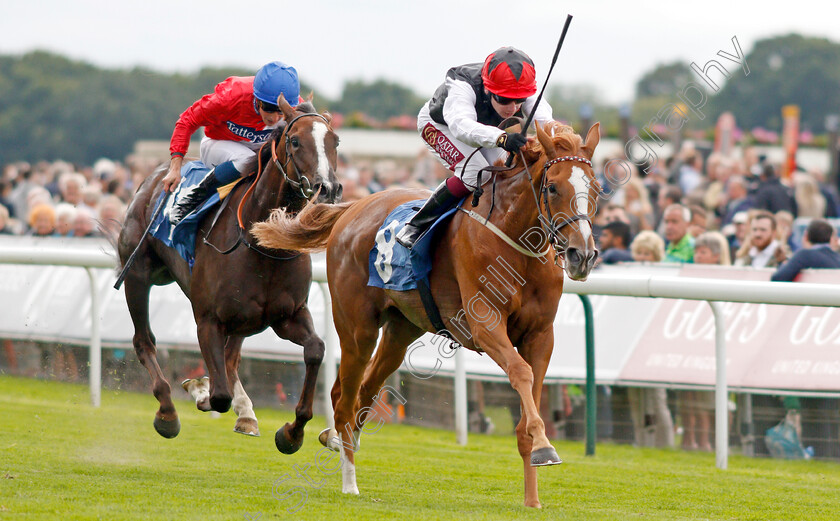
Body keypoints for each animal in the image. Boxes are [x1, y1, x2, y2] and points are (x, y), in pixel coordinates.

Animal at [117, 95, 342, 452]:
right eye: (295, 141)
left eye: (335, 141)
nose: (329, 188)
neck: (264, 246)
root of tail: (154, 176)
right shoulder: (209, 319)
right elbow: (219, 394)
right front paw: (201, 391)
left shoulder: (288, 314)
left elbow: (316, 350)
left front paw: (293, 432)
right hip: (138, 276)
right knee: (144, 340)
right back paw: (168, 411)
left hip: (244, 318)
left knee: (232, 357)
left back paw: (246, 413)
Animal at [253, 121, 600, 504]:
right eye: (552, 187)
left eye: (596, 188)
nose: (582, 255)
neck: (517, 242)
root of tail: (353, 209)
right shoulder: (485, 325)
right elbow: (520, 373)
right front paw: (545, 446)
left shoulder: (540, 335)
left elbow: (528, 405)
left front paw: (533, 494)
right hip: (357, 328)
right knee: (344, 400)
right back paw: (348, 481)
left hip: (401, 329)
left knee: (363, 392)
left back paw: (335, 440)